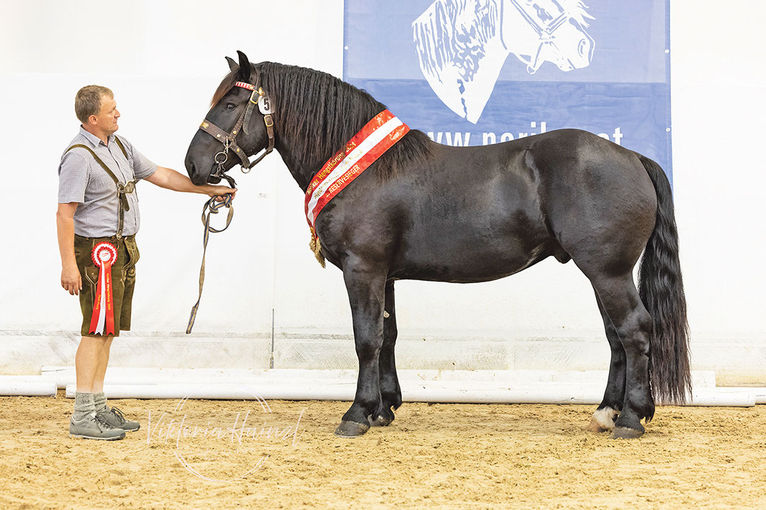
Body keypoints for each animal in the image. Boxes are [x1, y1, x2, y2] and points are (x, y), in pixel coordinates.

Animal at [184, 52, 688, 442]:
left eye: (231, 102)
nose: (193, 165)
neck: (368, 170)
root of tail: (632, 157)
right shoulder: (383, 274)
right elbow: (386, 336)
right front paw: (383, 409)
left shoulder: (362, 269)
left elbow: (365, 339)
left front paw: (355, 415)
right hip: (604, 273)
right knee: (617, 337)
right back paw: (607, 412)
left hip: (607, 271)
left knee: (635, 331)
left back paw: (630, 419)